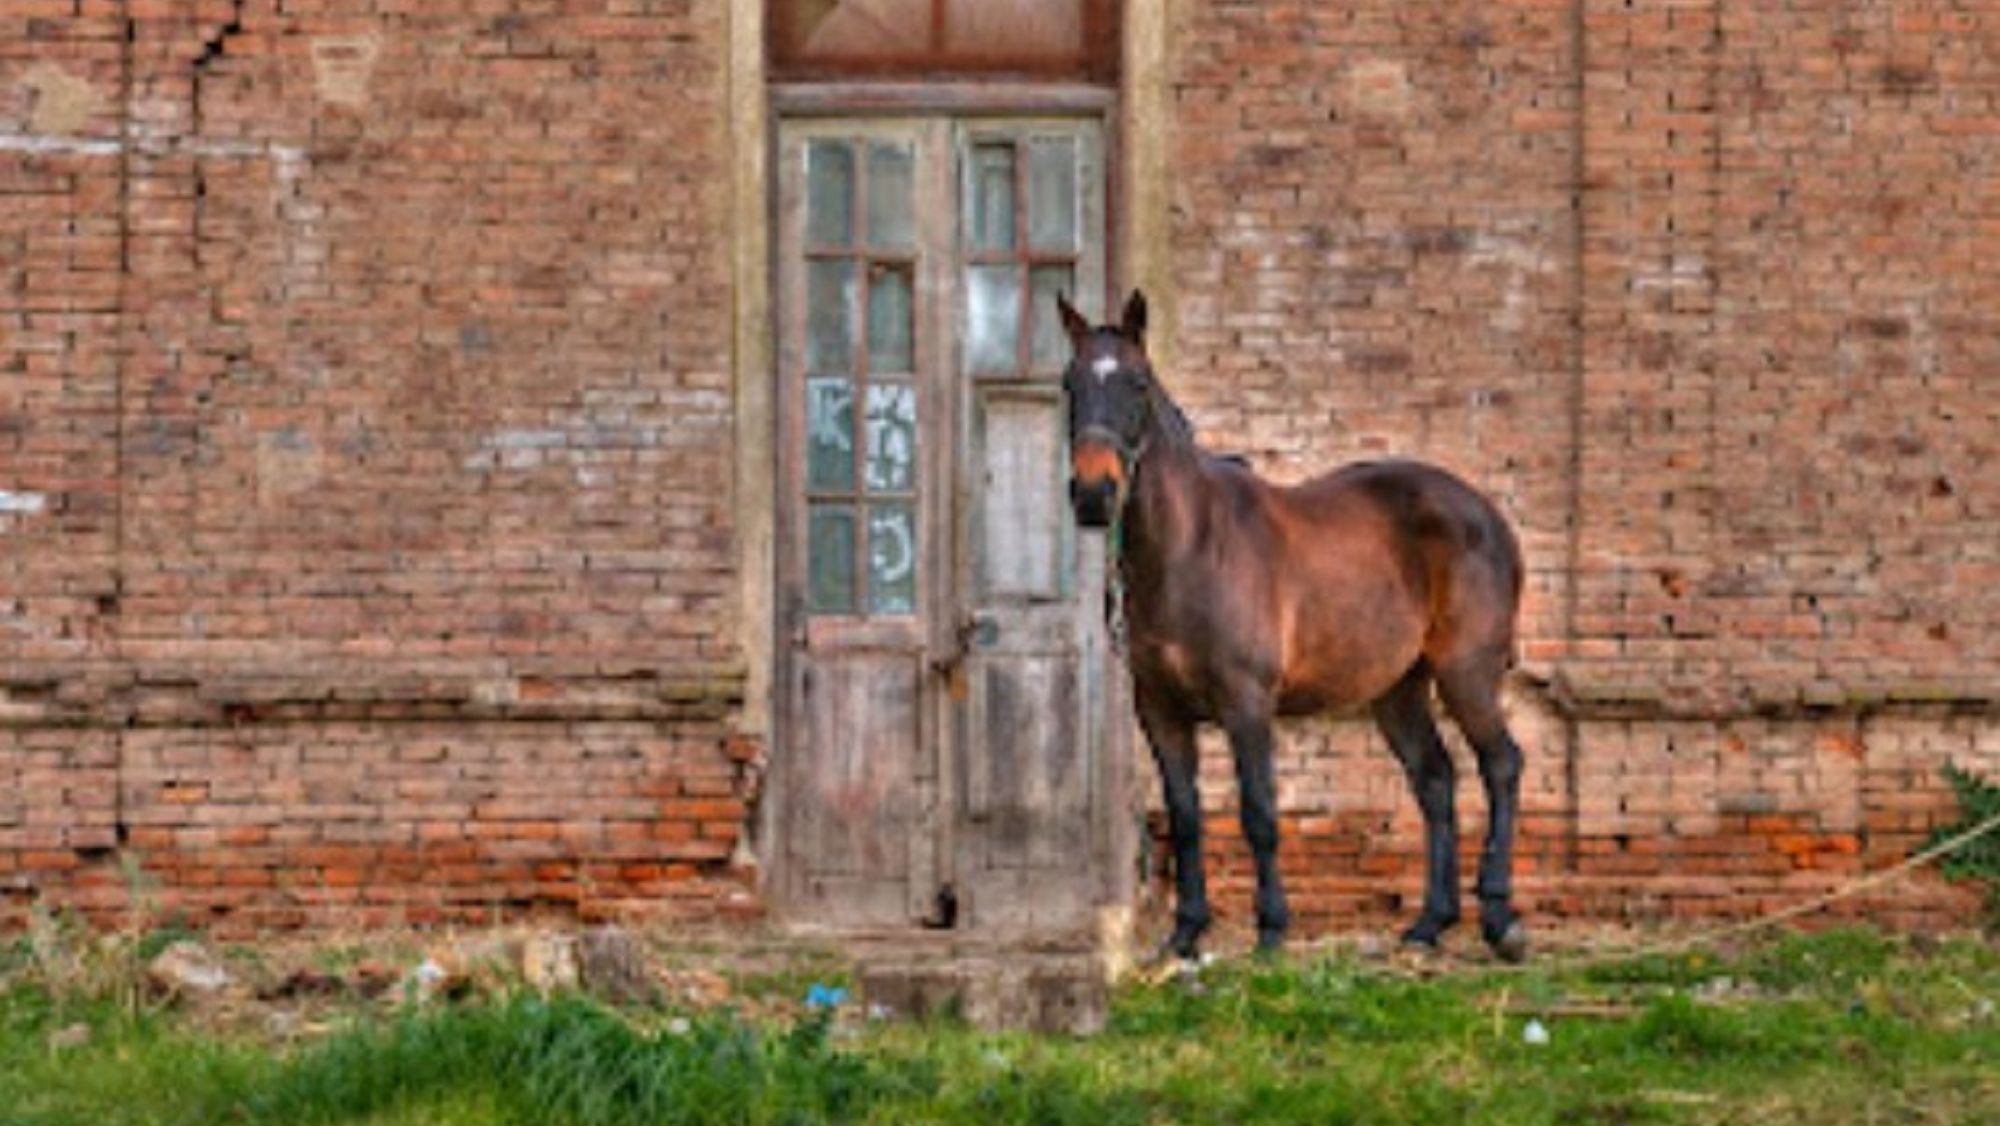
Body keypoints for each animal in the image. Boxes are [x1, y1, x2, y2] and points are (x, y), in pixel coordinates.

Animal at [1064, 288, 1528, 960]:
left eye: (1138, 382)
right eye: (1069, 383)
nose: (1093, 494)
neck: (1188, 547)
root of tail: (1486, 513)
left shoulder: (1247, 703)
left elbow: (1259, 813)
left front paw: (1271, 930)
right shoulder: (1159, 709)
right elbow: (1185, 816)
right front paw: (1185, 932)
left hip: (1466, 672)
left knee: (1501, 765)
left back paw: (1499, 919)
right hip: (1399, 689)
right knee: (1435, 781)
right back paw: (1428, 925)